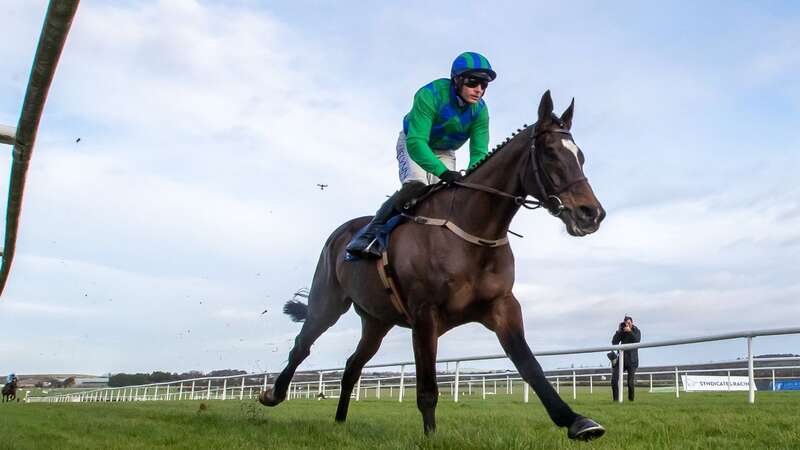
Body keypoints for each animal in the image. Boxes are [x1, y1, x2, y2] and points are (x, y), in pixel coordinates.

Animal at [262, 90, 608, 440]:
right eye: (550, 153)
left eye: (580, 156)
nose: (591, 213)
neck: (473, 233)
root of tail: (340, 234)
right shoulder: (424, 313)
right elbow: (427, 388)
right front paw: (431, 436)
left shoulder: (502, 305)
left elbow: (530, 366)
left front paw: (577, 421)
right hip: (328, 301)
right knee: (302, 346)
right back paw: (273, 394)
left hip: (376, 320)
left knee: (352, 365)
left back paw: (340, 421)